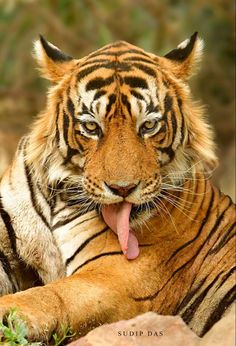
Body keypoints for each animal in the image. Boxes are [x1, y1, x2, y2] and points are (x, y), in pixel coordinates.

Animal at [0, 33, 235, 344]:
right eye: (91, 127)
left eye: (149, 125)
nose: (123, 188)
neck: (59, 198)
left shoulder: (118, 277)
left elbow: (50, 296)